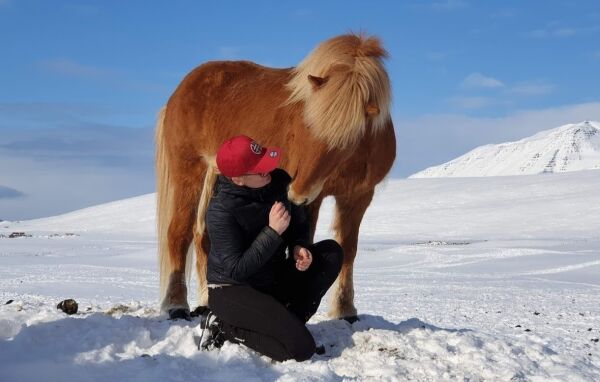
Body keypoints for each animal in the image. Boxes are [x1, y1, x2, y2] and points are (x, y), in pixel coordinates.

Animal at [157, 32, 396, 320]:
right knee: (178, 233)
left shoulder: (357, 198)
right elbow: (306, 241)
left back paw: (206, 301)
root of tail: (181, 90)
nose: (296, 192)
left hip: (215, 175)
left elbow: (348, 250)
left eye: (346, 141)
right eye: (305, 124)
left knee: (204, 238)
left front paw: (345, 310)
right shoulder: (313, 199)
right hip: (189, 170)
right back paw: (176, 305)